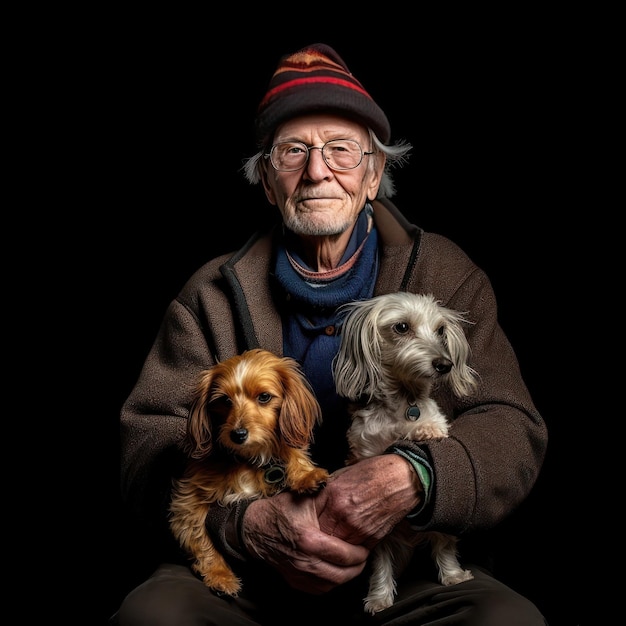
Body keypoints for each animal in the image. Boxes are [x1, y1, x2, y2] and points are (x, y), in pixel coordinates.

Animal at [332, 290, 478, 612]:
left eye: (440, 330)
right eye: (401, 327)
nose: (444, 364)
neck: (404, 400)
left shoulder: (432, 417)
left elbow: (430, 424)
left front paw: (424, 430)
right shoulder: (365, 447)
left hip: (442, 526)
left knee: (444, 548)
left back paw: (454, 576)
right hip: (382, 540)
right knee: (382, 563)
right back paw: (379, 596)